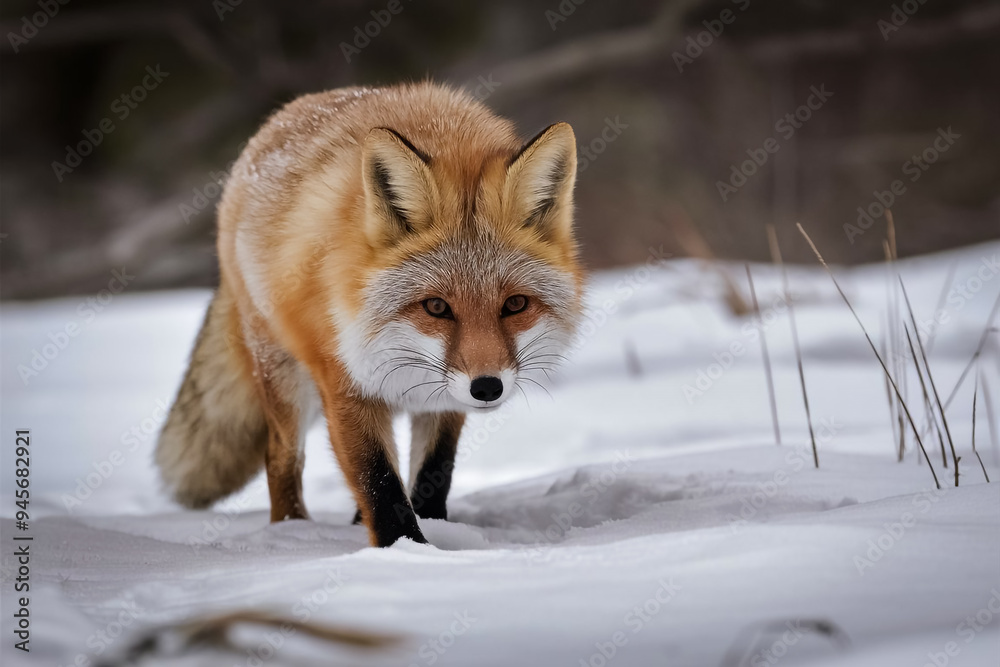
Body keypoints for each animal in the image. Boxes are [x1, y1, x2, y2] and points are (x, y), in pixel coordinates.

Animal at [155, 82, 584, 547]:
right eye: (436, 307)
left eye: (515, 305)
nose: (487, 387)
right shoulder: (345, 384)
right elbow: (379, 483)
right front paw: (405, 552)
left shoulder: (444, 398)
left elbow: (433, 473)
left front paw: (437, 534)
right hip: (284, 377)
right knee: (281, 458)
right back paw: (291, 531)